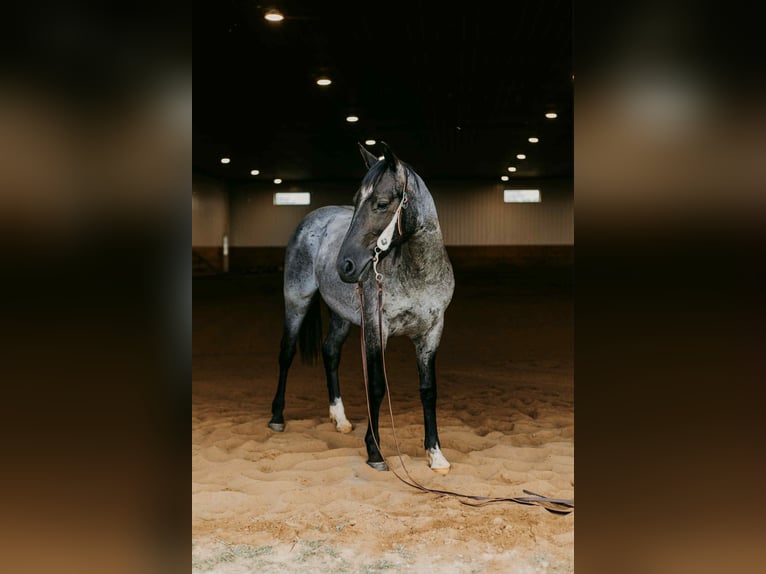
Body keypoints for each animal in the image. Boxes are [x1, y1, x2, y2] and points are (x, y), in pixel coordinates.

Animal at [268, 142, 455, 473]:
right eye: (356, 200)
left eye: (381, 203)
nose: (345, 265)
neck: (417, 272)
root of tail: (314, 217)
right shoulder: (376, 328)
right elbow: (377, 385)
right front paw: (375, 452)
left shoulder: (431, 333)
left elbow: (428, 390)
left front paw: (436, 455)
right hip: (296, 300)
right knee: (286, 352)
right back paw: (277, 417)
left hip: (341, 315)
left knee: (330, 352)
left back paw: (340, 419)